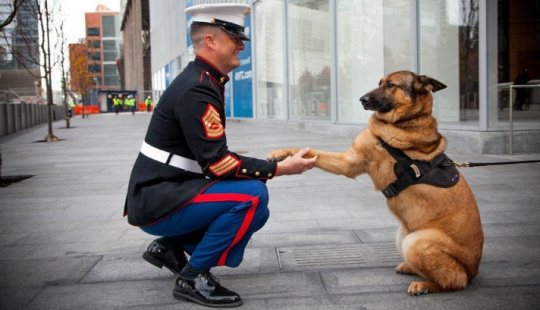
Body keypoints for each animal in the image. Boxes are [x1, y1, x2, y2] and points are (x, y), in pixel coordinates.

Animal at [268, 70, 484, 296]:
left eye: (390, 85)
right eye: (379, 82)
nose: (362, 99)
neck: (405, 120)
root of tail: (473, 270)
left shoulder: (350, 163)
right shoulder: (349, 161)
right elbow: (310, 151)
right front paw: (281, 154)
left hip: (415, 242)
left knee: (454, 281)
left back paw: (424, 285)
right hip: (402, 236)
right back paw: (410, 268)